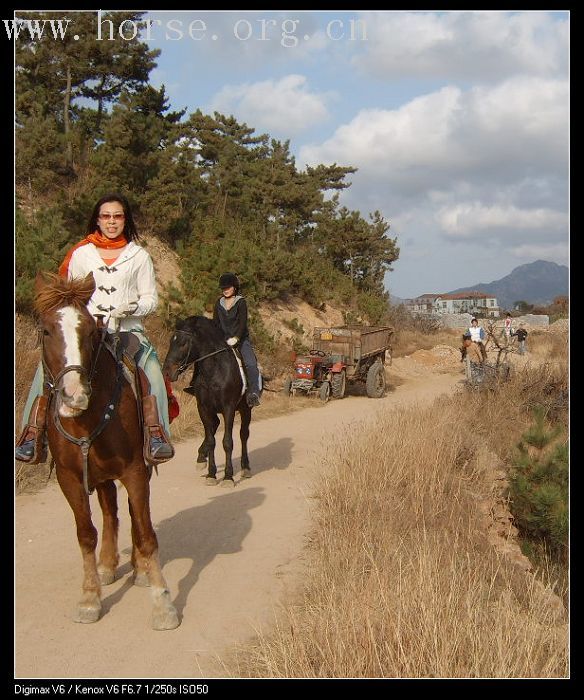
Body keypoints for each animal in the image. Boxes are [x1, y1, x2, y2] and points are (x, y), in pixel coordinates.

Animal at [33, 272, 178, 628]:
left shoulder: (135, 471)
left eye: (89, 330)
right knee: (110, 510)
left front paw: (162, 602)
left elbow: (146, 532)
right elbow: (86, 534)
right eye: (46, 330)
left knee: (130, 514)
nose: (74, 395)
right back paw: (108, 564)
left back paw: (138, 570)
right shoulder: (70, 479)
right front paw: (89, 597)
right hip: (98, 475)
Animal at [162, 316, 251, 484]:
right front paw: (211, 474)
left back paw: (246, 467)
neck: (214, 371)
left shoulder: (228, 408)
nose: (167, 372)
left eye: (183, 343)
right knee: (215, 426)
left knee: (244, 434)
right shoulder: (203, 408)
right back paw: (201, 458)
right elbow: (211, 441)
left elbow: (227, 442)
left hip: (245, 409)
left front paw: (228, 477)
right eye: (171, 340)